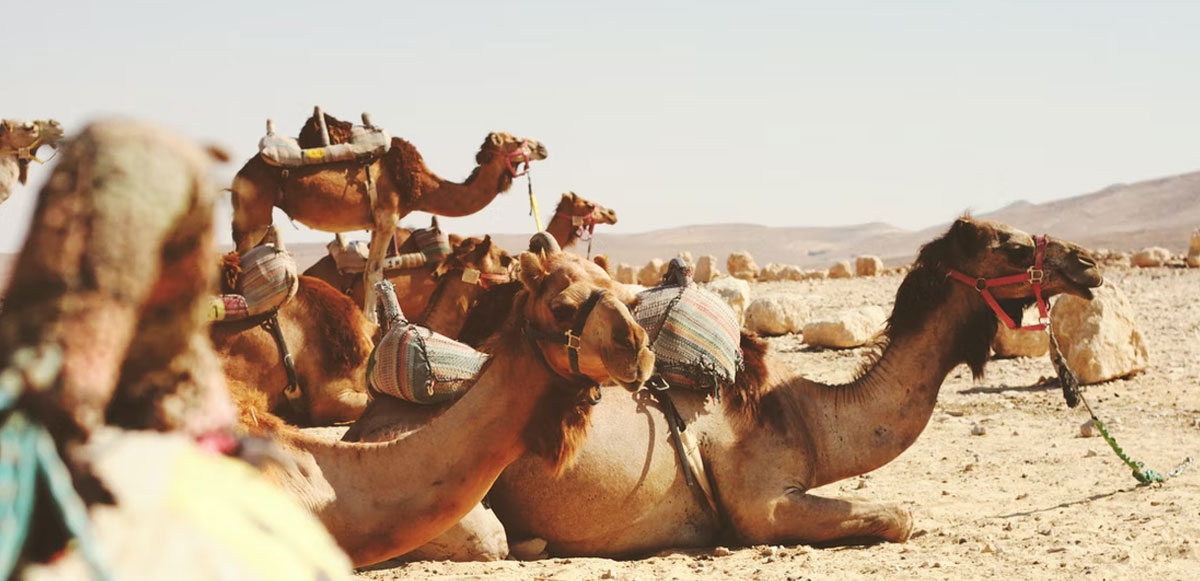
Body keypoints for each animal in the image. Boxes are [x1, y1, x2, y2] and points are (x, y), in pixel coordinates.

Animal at [230, 109, 549, 324]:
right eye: (515, 139)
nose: (543, 147)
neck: (420, 186)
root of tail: (239, 174)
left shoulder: (374, 224)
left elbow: (373, 270)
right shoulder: (388, 216)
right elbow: (374, 272)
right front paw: (372, 323)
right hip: (254, 214)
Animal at [350, 216, 1104, 556]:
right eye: (1012, 245)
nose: (1090, 261)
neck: (804, 414)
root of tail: (363, 429)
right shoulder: (758, 505)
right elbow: (897, 514)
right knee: (487, 538)